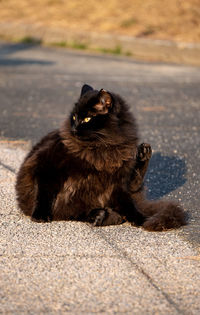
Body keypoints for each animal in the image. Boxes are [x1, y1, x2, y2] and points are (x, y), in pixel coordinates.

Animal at [15, 85, 186, 231]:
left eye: (87, 119)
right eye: (74, 117)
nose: (74, 129)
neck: (101, 146)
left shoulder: (118, 183)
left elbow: (129, 206)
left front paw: (141, 219)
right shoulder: (47, 167)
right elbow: (43, 194)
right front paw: (40, 216)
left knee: (135, 184)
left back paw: (144, 152)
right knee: (78, 213)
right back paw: (101, 216)